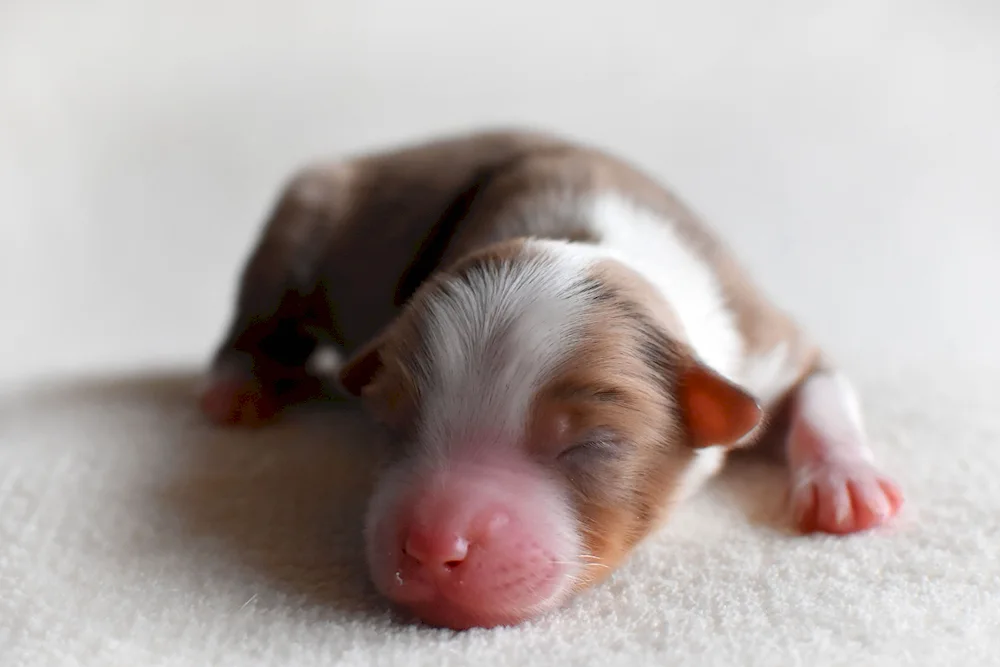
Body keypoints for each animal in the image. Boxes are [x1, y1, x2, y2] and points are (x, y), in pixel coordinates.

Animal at [199, 129, 904, 632]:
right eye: (393, 425)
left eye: (592, 444)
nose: (432, 547)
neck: (592, 241)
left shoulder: (764, 341)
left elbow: (823, 385)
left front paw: (848, 483)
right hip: (307, 208)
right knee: (260, 307)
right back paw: (238, 384)